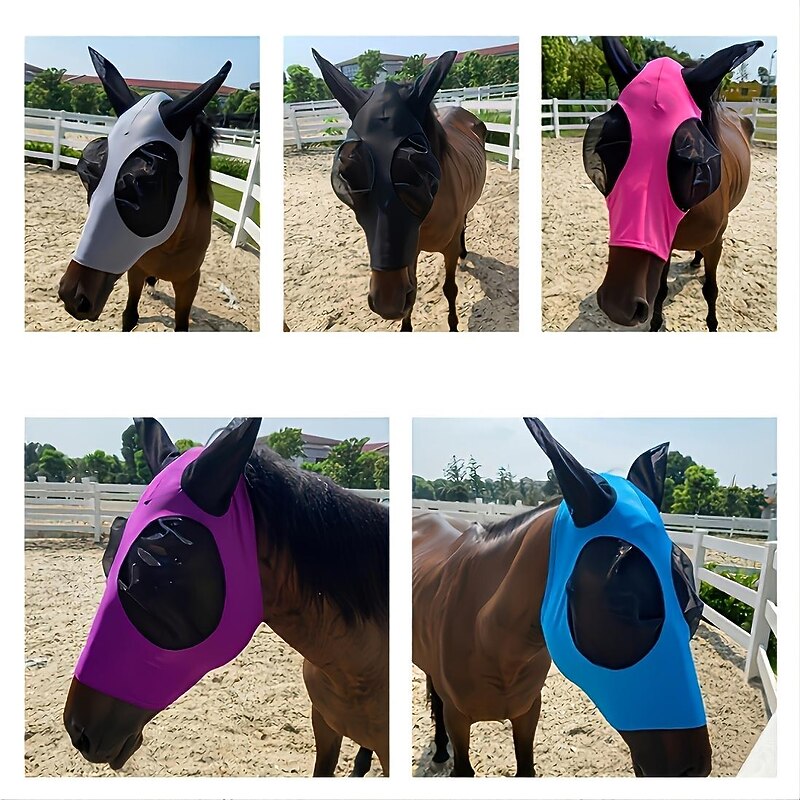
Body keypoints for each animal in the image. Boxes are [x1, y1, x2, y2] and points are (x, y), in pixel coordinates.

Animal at [57, 48, 230, 331]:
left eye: (147, 184)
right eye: (88, 175)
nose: (73, 296)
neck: (169, 244)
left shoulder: (189, 282)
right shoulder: (135, 271)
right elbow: (129, 316)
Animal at [313, 50, 487, 331]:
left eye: (419, 169)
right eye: (347, 173)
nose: (388, 302)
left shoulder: (445, 250)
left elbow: (450, 289)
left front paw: (453, 325)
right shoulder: (409, 254)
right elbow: (412, 295)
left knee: (464, 223)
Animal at [412, 418, 711, 777]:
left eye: (695, 609)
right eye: (627, 608)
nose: (693, 767)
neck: (487, 633)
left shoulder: (527, 712)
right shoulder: (459, 720)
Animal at [583, 37, 763, 330]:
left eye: (689, 158)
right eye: (605, 149)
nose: (617, 304)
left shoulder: (716, 243)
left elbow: (710, 290)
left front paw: (712, 324)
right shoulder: (663, 247)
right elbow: (660, 290)